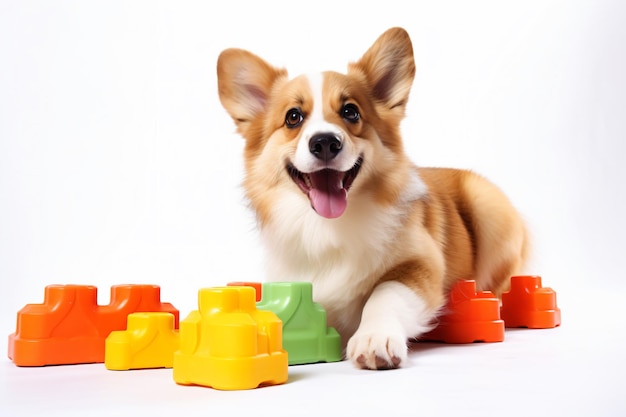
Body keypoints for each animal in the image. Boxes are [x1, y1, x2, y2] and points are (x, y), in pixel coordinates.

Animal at [216, 27, 528, 368]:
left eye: (350, 112)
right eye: (293, 117)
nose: (325, 142)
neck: (329, 227)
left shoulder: (420, 264)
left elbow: (385, 293)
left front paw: (374, 339)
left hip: (488, 206)